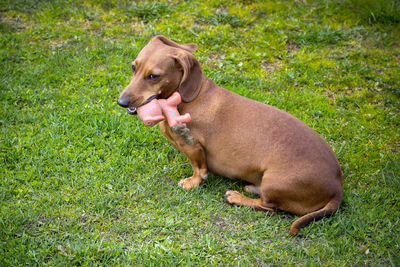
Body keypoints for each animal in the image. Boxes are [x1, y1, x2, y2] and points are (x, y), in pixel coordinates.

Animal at [117, 36, 342, 237]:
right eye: (133, 67)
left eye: (153, 76)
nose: (121, 102)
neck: (192, 97)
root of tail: (337, 188)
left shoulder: (194, 147)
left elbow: (199, 169)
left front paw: (192, 182)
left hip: (275, 181)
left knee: (269, 208)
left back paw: (237, 197)